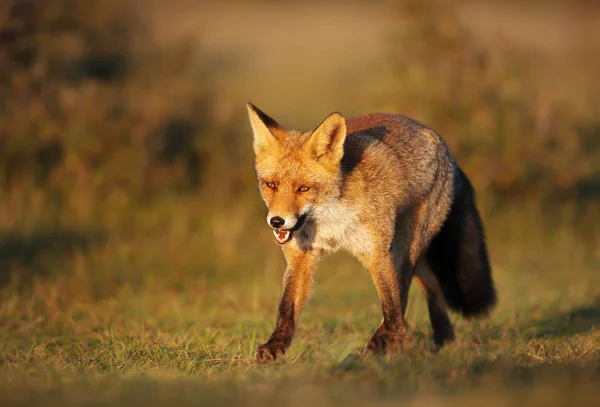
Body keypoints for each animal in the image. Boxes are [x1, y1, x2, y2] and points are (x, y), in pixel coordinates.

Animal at [246, 103, 494, 364]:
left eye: (304, 188)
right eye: (271, 185)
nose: (277, 221)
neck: (329, 220)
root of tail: (444, 146)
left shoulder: (376, 251)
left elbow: (391, 304)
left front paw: (393, 341)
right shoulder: (301, 256)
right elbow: (287, 308)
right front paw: (276, 346)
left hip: (405, 246)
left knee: (404, 291)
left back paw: (386, 340)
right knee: (431, 285)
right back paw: (444, 339)